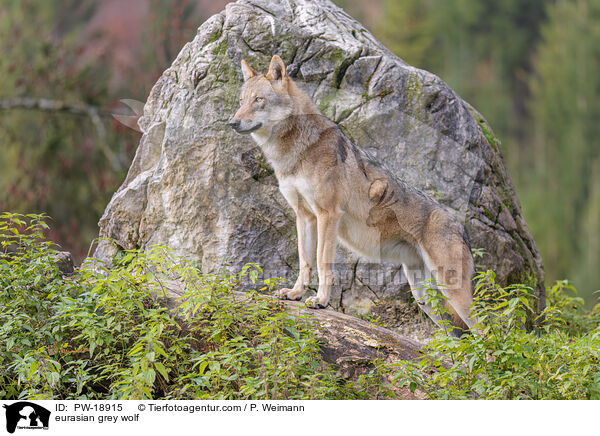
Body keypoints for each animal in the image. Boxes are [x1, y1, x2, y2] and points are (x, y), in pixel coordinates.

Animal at [230, 55, 478, 338]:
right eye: (242, 101)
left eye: (258, 100)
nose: (232, 122)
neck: (297, 152)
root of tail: (461, 227)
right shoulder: (304, 216)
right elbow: (305, 261)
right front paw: (295, 293)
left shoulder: (328, 215)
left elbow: (322, 262)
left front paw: (320, 301)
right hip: (426, 298)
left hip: (454, 293)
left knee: (491, 328)